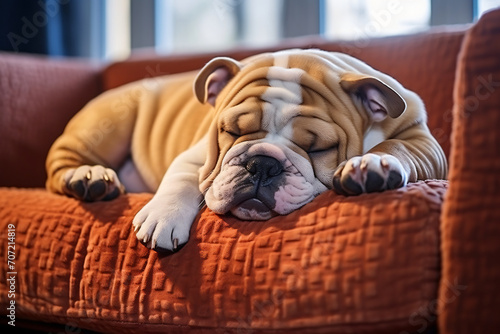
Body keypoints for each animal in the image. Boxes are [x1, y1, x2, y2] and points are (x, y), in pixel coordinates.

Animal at [46, 49, 446, 252]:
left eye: (319, 148)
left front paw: (370, 162)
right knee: (59, 168)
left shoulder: (423, 143)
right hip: (108, 124)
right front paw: (163, 216)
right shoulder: (200, 157)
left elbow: (398, 147)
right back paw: (89, 177)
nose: (262, 164)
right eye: (231, 131)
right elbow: (182, 179)